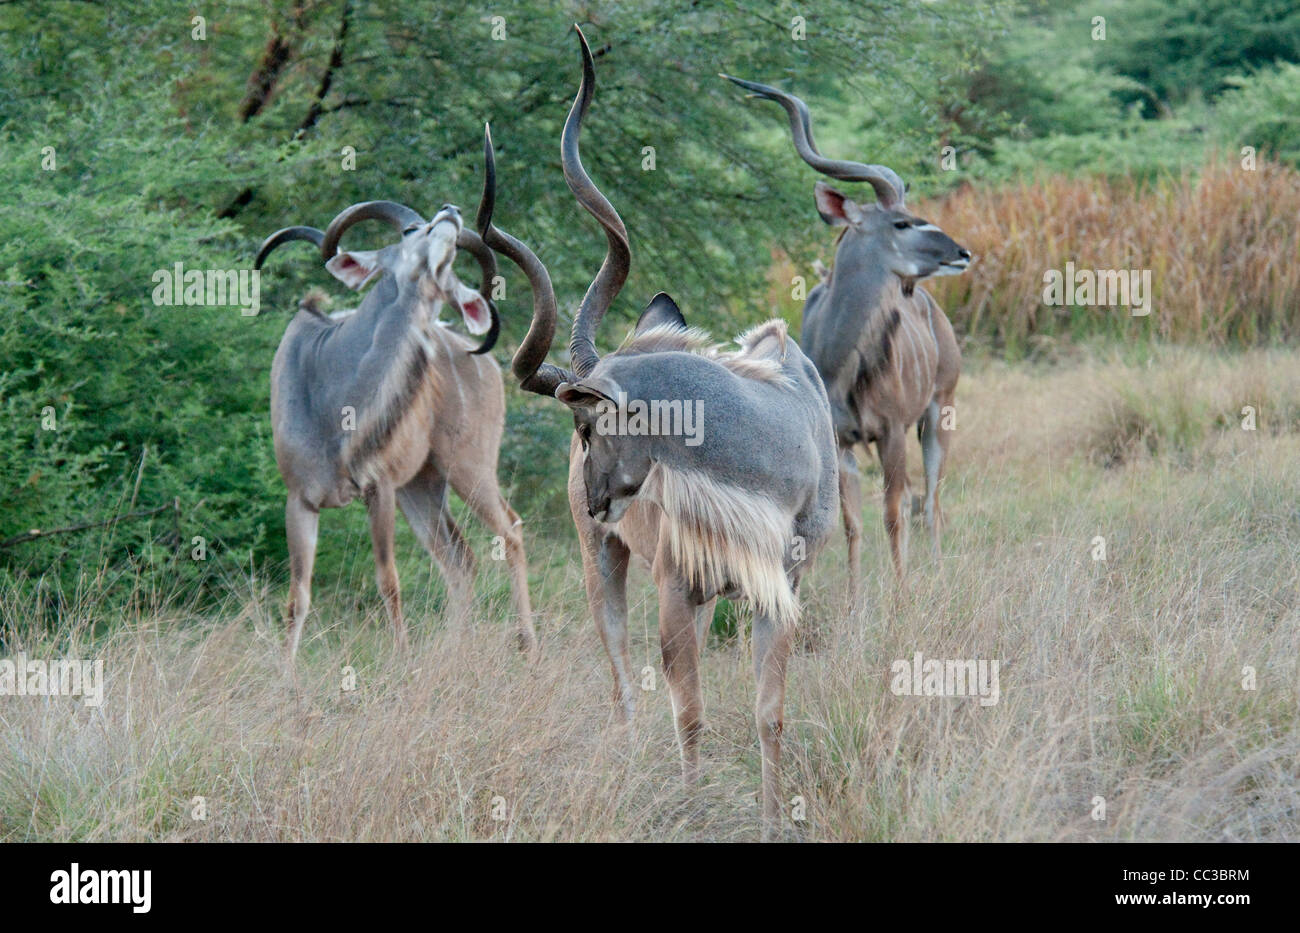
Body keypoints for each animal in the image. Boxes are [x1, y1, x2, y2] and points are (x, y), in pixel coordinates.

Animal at [253, 198, 538, 665]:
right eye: (409, 232)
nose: (450, 211)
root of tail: (484, 362)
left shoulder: (379, 489)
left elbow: (388, 580)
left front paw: (401, 659)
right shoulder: (300, 500)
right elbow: (299, 596)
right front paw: (285, 675)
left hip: (467, 469)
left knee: (509, 532)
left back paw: (527, 644)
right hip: (421, 488)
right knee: (460, 559)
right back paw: (454, 651)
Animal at [475, 27, 832, 842]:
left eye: (585, 423)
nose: (596, 497)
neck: (772, 444)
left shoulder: (780, 588)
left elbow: (768, 714)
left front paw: (770, 820)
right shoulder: (677, 587)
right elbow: (689, 712)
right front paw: (693, 811)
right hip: (601, 561)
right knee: (620, 683)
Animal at [722, 76, 977, 584]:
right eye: (902, 222)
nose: (961, 253)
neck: (840, 363)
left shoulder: (892, 432)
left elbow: (893, 516)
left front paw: (901, 595)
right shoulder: (842, 443)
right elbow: (852, 524)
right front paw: (858, 600)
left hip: (940, 408)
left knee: (932, 501)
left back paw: (938, 576)